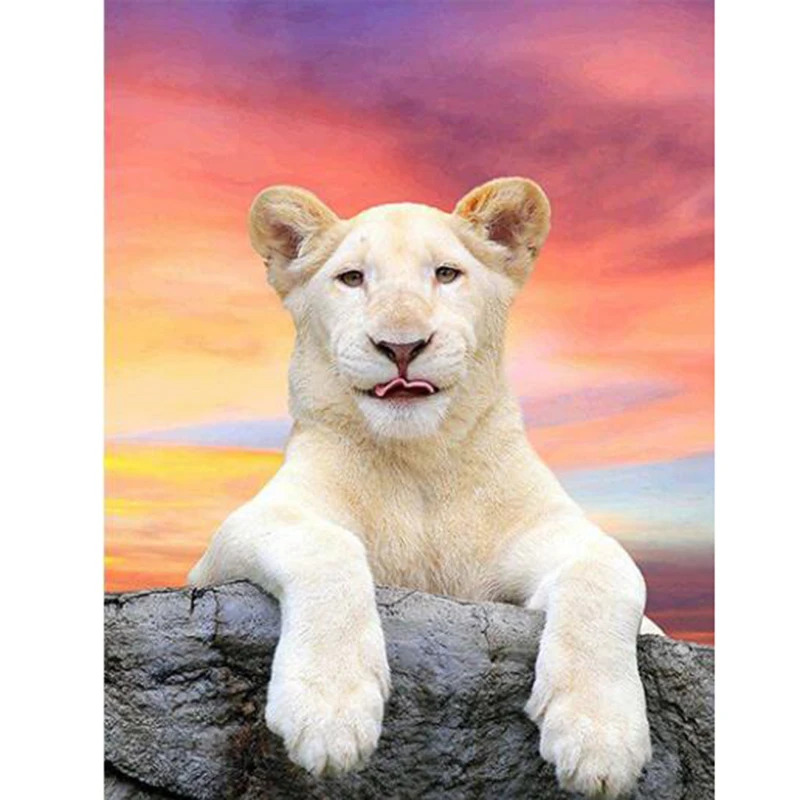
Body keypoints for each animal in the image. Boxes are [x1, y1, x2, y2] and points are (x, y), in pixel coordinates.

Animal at [188, 177, 662, 797]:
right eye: (352, 278)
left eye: (445, 273)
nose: (402, 346)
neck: (421, 463)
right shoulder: (241, 534)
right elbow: (327, 547)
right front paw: (330, 712)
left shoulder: (550, 531)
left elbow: (609, 574)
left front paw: (599, 739)